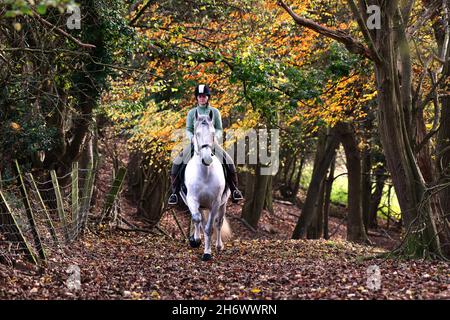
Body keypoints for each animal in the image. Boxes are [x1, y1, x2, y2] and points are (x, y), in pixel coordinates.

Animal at [178, 109, 230, 260]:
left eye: (212, 133)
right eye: (197, 133)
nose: (207, 158)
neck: (205, 172)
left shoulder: (215, 203)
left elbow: (209, 227)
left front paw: (207, 253)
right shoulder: (192, 199)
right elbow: (197, 219)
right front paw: (195, 241)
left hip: (223, 204)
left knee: (219, 222)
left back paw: (218, 246)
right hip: (197, 204)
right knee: (199, 219)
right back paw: (196, 238)